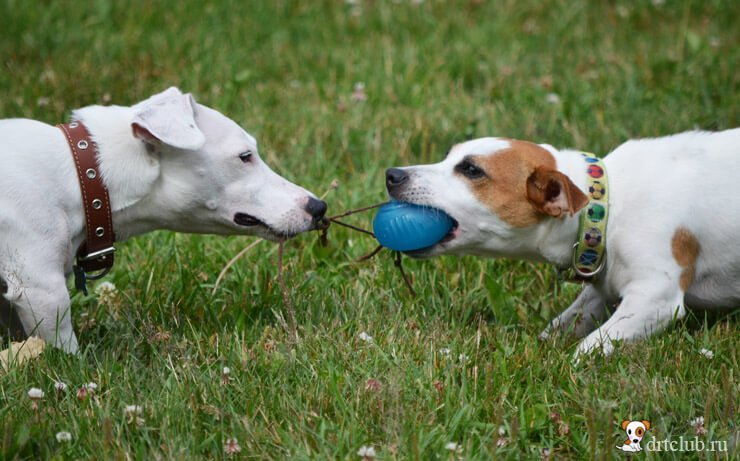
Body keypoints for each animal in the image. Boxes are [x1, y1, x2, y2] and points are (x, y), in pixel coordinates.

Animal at [388, 129, 740, 356]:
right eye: (448, 157)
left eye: (472, 169)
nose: (392, 174)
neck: (606, 205)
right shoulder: (601, 289)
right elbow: (564, 324)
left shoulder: (655, 297)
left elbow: (589, 347)